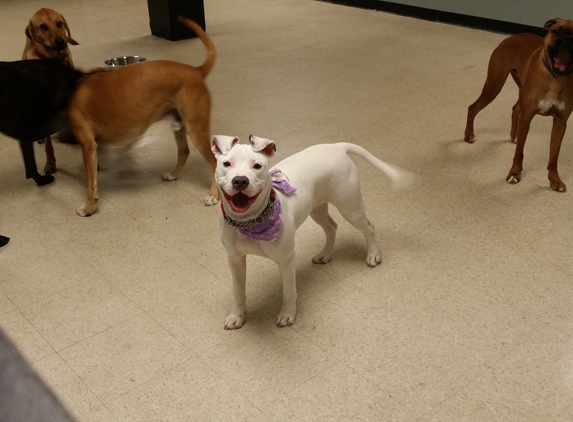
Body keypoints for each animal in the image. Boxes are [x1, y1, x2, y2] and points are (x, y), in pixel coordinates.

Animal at [68, 17, 217, 216]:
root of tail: (196, 70)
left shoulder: (88, 145)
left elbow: (91, 185)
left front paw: (88, 207)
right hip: (179, 125)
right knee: (184, 152)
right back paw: (174, 174)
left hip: (196, 129)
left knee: (214, 163)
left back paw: (214, 195)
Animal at [212, 135, 408, 330]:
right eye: (227, 163)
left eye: (257, 166)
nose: (240, 180)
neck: (248, 223)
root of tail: (337, 146)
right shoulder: (235, 259)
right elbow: (238, 291)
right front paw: (237, 316)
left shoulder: (286, 260)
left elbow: (289, 291)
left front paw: (287, 314)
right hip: (317, 209)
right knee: (331, 227)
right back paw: (325, 255)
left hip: (350, 208)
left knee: (369, 228)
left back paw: (373, 254)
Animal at [462, 18, 572, 192]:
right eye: (557, 31)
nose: (568, 39)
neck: (554, 77)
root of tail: (510, 37)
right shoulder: (527, 118)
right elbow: (519, 151)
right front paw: (514, 173)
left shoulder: (560, 123)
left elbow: (553, 156)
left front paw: (555, 180)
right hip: (494, 85)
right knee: (472, 108)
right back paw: (469, 134)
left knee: (515, 109)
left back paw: (513, 134)